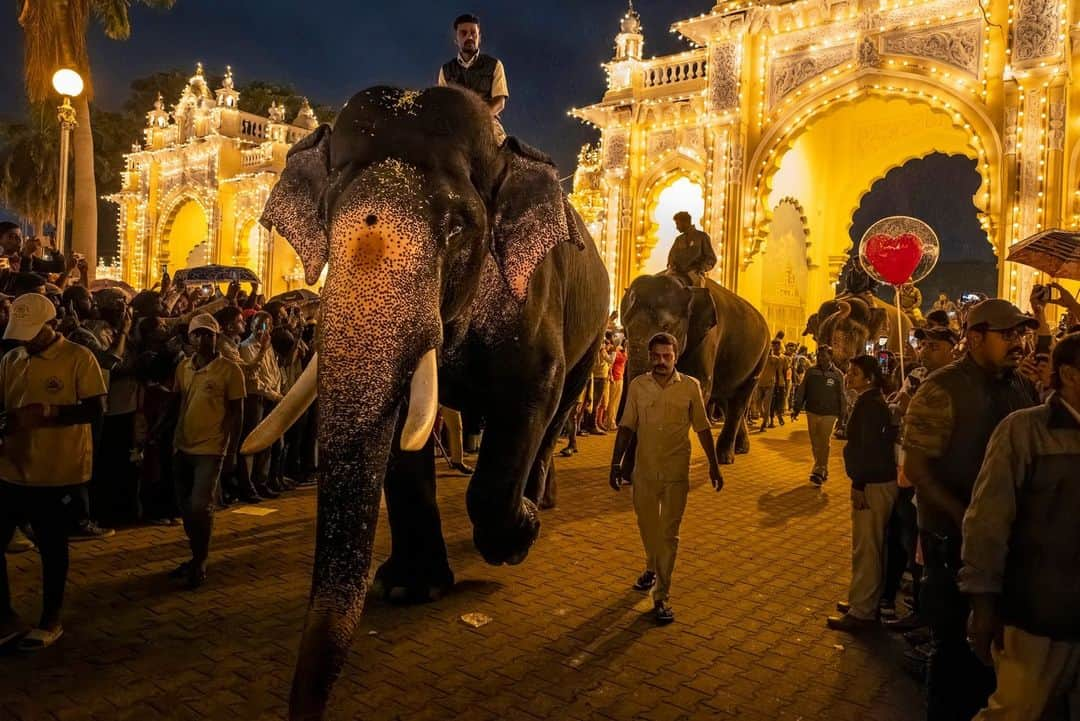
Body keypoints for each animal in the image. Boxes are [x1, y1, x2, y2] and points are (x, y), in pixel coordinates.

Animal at [244, 88, 609, 721]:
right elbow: (398, 433)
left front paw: (517, 537)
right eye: (328, 217)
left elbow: (532, 393)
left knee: (561, 406)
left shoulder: (534, 301)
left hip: (594, 321)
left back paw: (539, 499)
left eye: (459, 227)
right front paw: (408, 587)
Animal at [622, 273, 773, 464]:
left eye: (666, 327)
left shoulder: (708, 338)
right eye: (625, 327)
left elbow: (699, 388)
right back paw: (741, 449)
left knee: (739, 400)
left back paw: (725, 457)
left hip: (761, 358)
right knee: (726, 399)